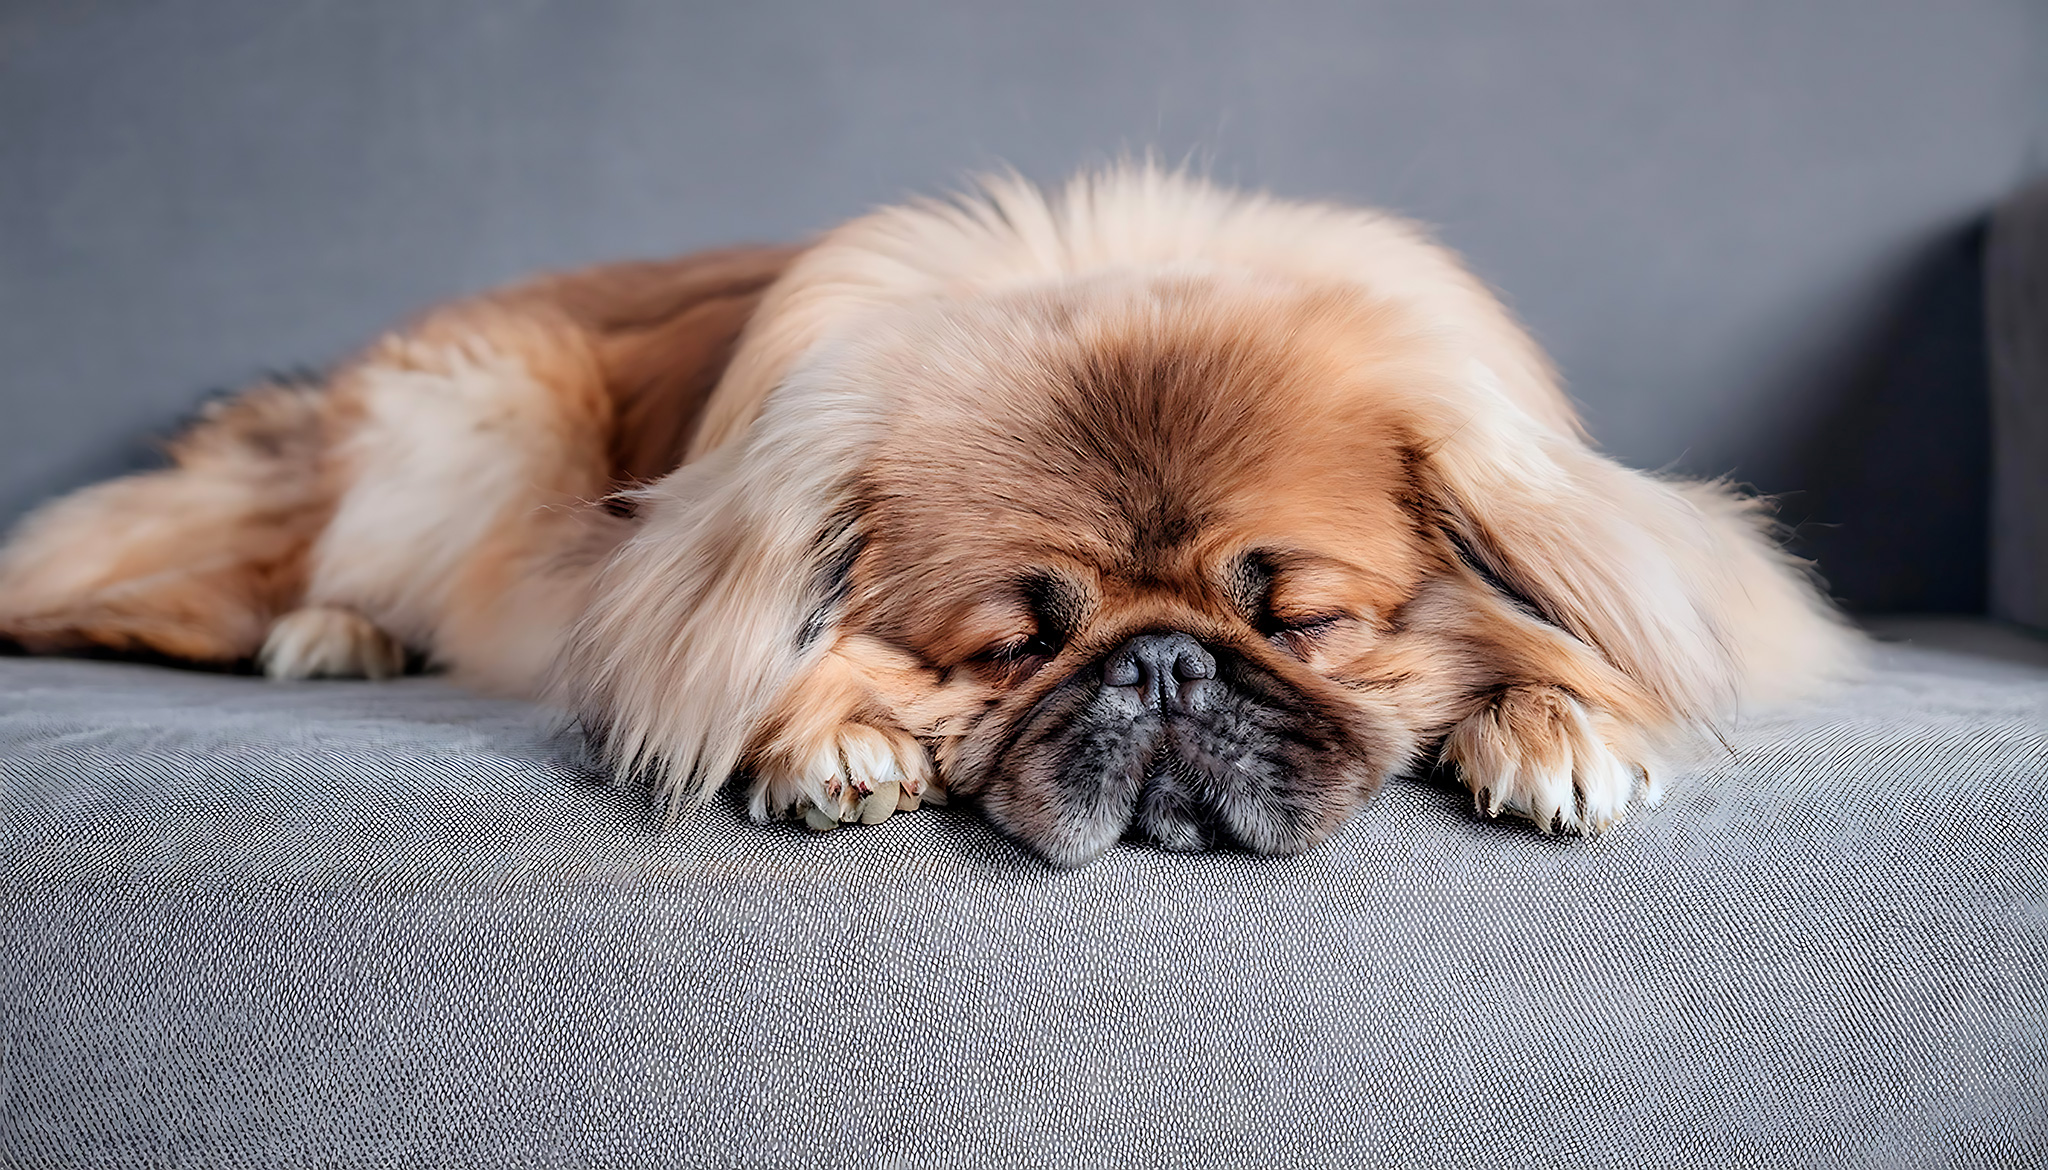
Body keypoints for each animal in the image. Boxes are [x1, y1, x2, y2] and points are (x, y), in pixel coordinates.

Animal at [0, 164, 1859, 864]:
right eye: (1011, 649)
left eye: (1299, 623)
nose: (1165, 668)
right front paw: (829, 737)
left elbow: (1576, 634)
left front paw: (1558, 724)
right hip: (466, 427)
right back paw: (334, 632)